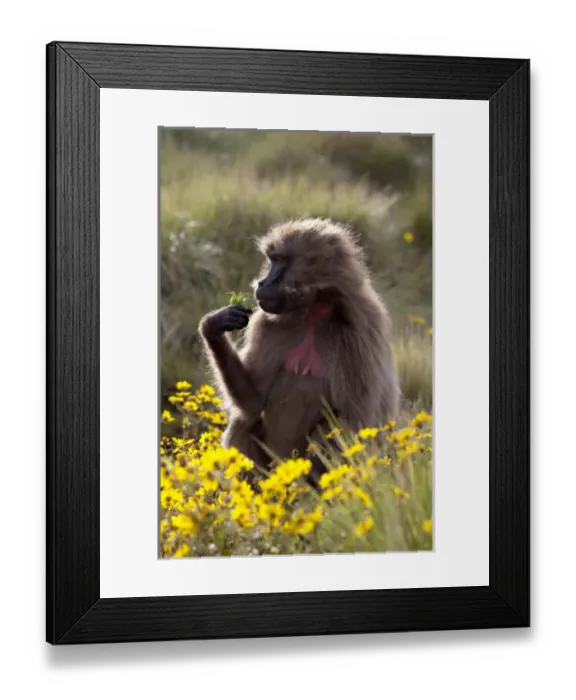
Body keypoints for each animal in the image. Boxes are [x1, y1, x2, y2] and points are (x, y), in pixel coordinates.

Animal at [199, 218, 400, 485]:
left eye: (279, 261)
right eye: (271, 259)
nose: (262, 283)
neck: (315, 310)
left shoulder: (360, 332)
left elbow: (354, 418)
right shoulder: (267, 323)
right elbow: (254, 402)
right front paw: (214, 326)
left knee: (328, 427)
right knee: (245, 421)